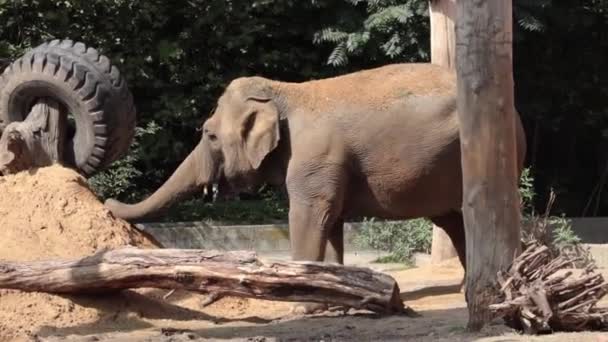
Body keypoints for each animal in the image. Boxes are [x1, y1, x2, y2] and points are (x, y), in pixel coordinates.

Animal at [104, 61, 528, 274]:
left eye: (208, 135)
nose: (108, 201)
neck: (284, 91)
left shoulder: (314, 157)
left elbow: (308, 214)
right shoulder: (329, 166)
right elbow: (333, 220)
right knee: (454, 221)